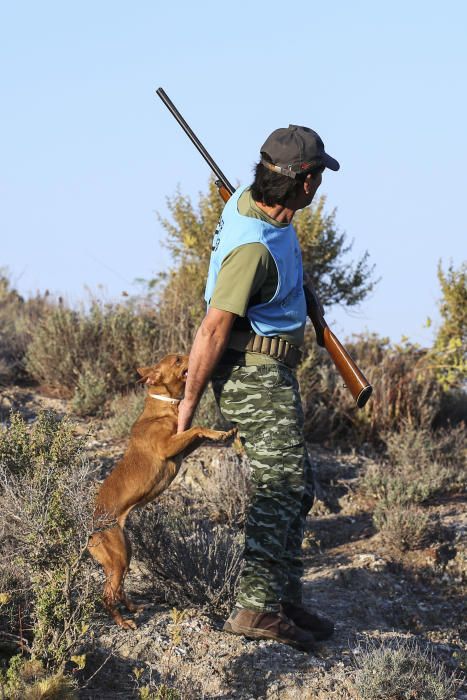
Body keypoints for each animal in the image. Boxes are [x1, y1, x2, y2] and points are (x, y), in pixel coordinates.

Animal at [88, 356, 234, 628]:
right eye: (177, 360)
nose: (191, 354)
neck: (163, 406)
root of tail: (89, 530)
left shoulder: (181, 449)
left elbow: (197, 432)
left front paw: (221, 433)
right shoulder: (168, 447)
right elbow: (197, 427)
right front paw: (218, 432)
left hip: (125, 554)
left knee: (119, 589)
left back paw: (133, 607)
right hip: (118, 558)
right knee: (107, 595)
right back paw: (123, 622)